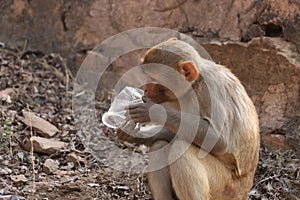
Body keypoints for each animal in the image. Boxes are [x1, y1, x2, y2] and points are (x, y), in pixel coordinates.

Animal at [117, 38, 260, 199]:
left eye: (153, 78)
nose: (145, 89)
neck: (195, 84)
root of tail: (247, 186)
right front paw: (134, 134)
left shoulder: (210, 90)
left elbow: (219, 140)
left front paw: (152, 111)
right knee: (160, 144)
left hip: (228, 189)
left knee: (181, 150)